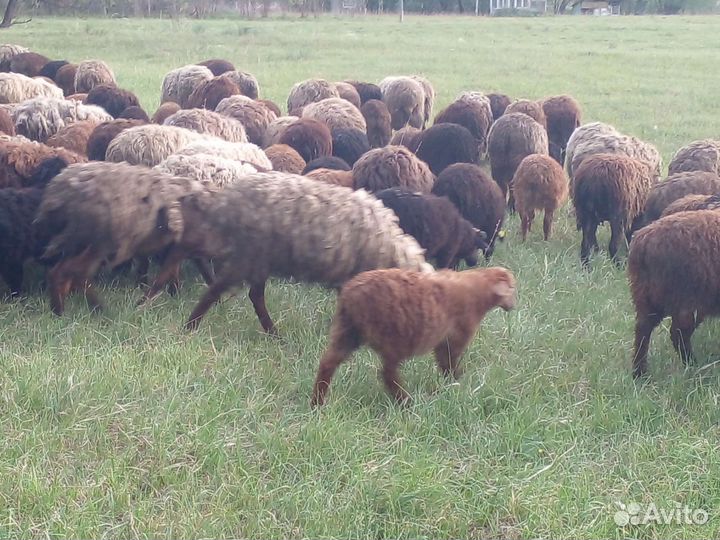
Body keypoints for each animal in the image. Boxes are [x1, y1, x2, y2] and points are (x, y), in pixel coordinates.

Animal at [35, 161, 209, 314]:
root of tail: (60, 194)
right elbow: (171, 272)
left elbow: (173, 271)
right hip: (98, 242)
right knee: (77, 273)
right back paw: (99, 311)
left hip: (77, 241)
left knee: (59, 272)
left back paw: (58, 311)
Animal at [139, 171, 432, 334]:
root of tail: (229, 198)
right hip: (247, 253)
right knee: (210, 280)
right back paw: (187, 323)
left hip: (253, 255)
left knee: (241, 287)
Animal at [311, 266, 517, 405]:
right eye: (512, 289)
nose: (513, 306)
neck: (479, 290)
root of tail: (350, 294)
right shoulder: (455, 337)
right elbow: (449, 362)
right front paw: (456, 381)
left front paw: (451, 383)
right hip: (393, 336)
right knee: (387, 373)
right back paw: (405, 401)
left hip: (347, 331)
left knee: (327, 363)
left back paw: (317, 402)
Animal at [628, 210, 720, 377]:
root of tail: (642, 241)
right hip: (687, 299)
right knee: (679, 334)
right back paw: (693, 367)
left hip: (646, 296)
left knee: (642, 330)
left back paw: (640, 374)